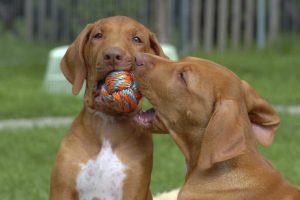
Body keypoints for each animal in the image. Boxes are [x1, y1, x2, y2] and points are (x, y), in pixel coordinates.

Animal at [49, 16, 166, 200]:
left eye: (136, 39)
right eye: (98, 35)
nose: (112, 55)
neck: (108, 126)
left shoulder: (133, 190)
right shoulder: (62, 189)